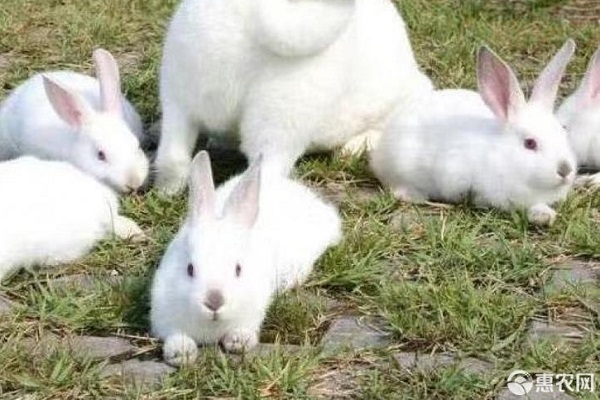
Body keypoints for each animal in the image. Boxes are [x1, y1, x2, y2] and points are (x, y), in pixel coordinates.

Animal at [150, 151, 342, 366]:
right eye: (190, 269)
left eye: (238, 269)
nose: (214, 302)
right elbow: (175, 335)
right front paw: (180, 353)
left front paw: (238, 341)